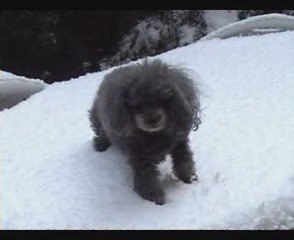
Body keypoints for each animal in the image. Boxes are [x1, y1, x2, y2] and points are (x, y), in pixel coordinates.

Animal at [88, 58, 201, 204]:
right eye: (136, 105)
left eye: (163, 99)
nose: (152, 119)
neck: (153, 135)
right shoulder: (140, 159)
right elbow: (147, 180)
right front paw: (156, 199)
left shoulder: (179, 143)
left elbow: (184, 162)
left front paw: (189, 179)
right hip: (98, 118)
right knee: (101, 132)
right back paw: (101, 144)